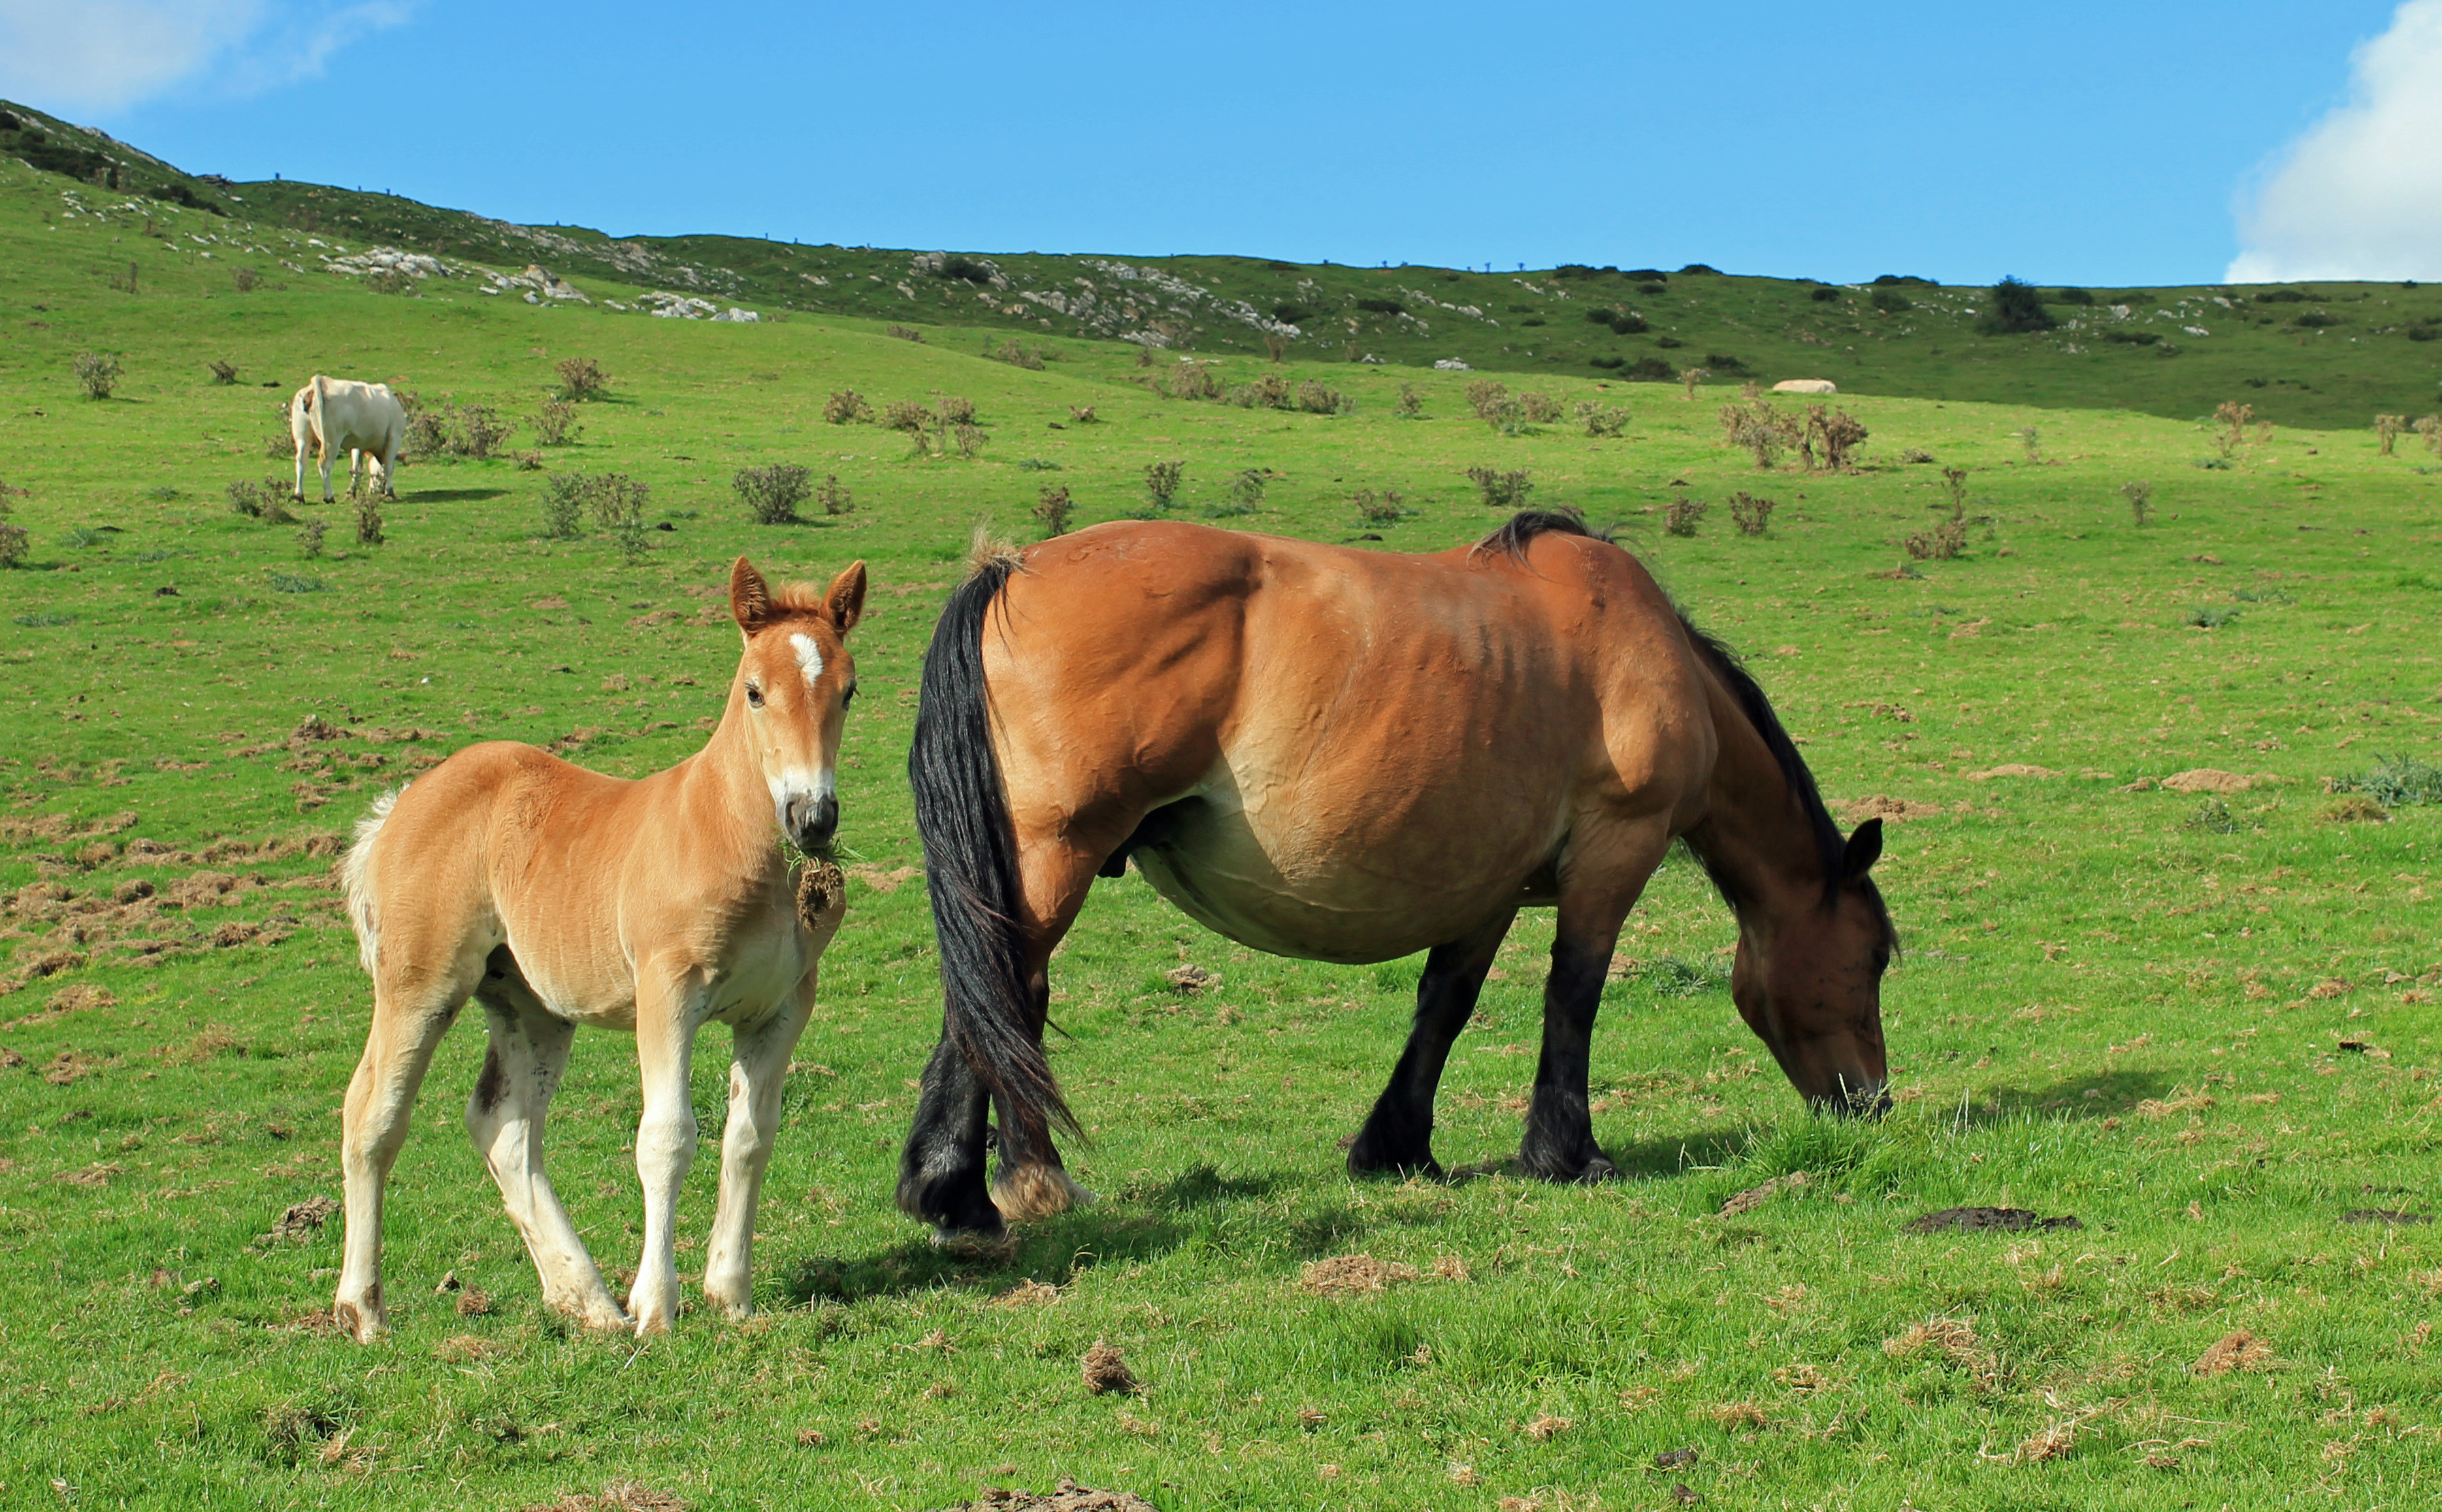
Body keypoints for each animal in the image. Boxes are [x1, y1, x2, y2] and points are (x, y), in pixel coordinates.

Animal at [294, 376, 412, 506]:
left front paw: (351, 492)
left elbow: (357, 469)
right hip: (332, 440)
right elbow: (389, 468)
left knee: (301, 463)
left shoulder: (359, 443)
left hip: (302, 437)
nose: (373, 490)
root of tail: (323, 381)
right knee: (324, 465)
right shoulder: (394, 437)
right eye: (375, 474)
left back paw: (299, 496)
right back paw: (329, 496)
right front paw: (390, 492)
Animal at [334, 556, 869, 1338]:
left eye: (849, 690)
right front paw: (657, 1307)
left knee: (503, 1126)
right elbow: (667, 1138)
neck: (734, 837)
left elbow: (750, 1138)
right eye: (755, 690)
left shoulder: (782, 1006)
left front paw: (730, 1294)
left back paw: (585, 1298)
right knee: (372, 1115)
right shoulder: (667, 990)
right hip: (419, 983)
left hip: (530, 1004)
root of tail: (401, 803)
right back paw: (364, 1308)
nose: (813, 817)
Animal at [898, 517, 1885, 1240]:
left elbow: (1443, 1005)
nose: (1870, 1101)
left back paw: (955, 1191)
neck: (1642, 646)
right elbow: (1574, 993)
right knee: (1004, 996)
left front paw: (1397, 1146)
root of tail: (1008, 572)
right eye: (1874, 957)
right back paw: (1003, 1185)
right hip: (1053, 855)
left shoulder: (1486, 884)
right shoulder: (1616, 847)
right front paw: (1568, 1153)